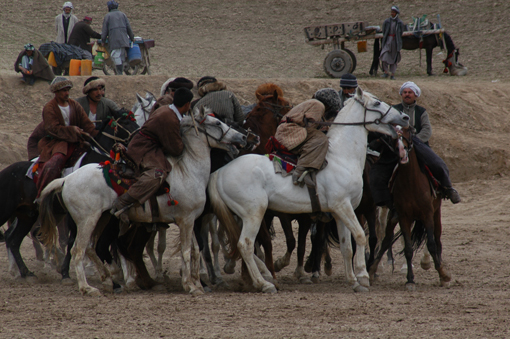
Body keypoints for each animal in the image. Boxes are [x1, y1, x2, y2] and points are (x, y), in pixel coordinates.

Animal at [37, 107, 247, 296]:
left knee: (91, 248)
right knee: (78, 250)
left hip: (102, 219)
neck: (188, 170)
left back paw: (109, 279)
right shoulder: (186, 221)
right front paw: (191, 286)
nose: (242, 138)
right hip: (87, 220)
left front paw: (196, 282)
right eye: (218, 123)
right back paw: (88, 287)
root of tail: (67, 179)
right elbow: (187, 251)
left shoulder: (193, 220)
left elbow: (195, 250)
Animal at [207, 88, 410, 294]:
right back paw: (264, 283)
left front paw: (353, 280)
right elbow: (360, 236)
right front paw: (362, 276)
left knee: (242, 245)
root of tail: (220, 172)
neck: (341, 157)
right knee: (246, 244)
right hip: (253, 214)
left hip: (241, 216)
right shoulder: (343, 206)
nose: (405, 117)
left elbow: (346, 247)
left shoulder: (340, 212)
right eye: (377, 103)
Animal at [368, 129, 452, 290]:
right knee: (386, 240)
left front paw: (443, 274)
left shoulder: (427, 214)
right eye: (392, 136)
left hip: (436, 213)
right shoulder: (403, 217)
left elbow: (431, 244)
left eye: (408, 132)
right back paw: (373, 270)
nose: (401, 151)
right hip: (393, 217)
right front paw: (410, 279)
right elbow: (407, 248)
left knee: (437, 240)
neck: (411, 183)